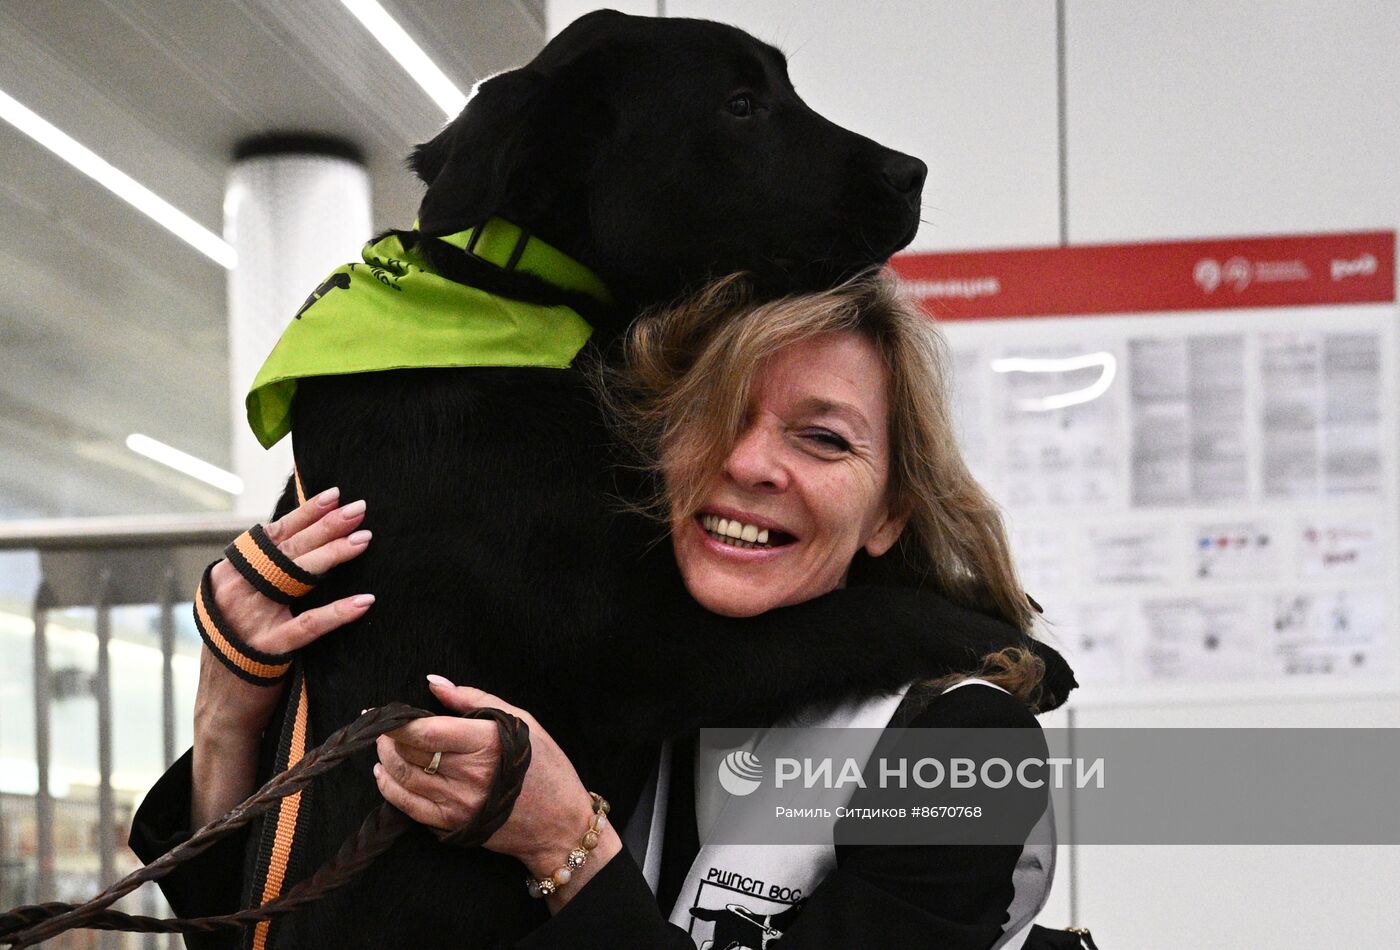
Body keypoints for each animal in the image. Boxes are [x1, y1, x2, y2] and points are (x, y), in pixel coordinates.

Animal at [246, 9, 1064, 950]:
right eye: (741, 105)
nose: (913, 172)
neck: (516, 298)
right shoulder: (640, 648)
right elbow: (856, 612)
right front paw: (1023, 645)